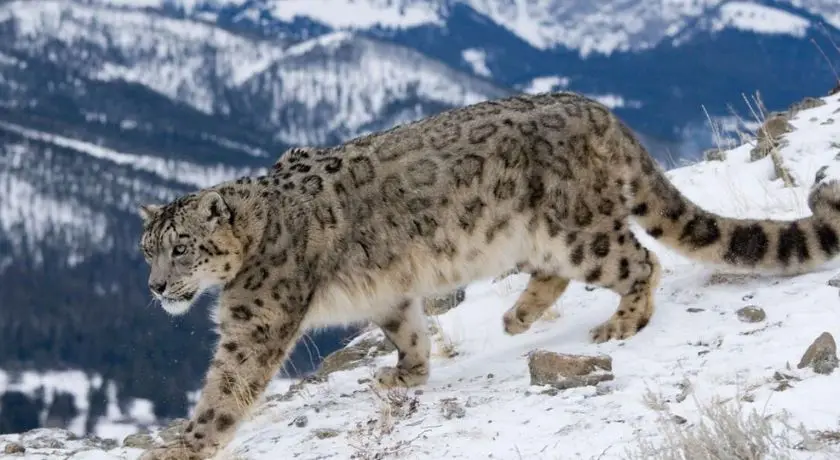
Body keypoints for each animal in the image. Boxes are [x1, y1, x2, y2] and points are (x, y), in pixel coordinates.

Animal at [136, 91, 840, 459]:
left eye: (183, 249)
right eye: (147, 250)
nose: (154, 287)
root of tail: (596, 108)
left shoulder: (255, 319)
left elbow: (226, 387)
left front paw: (181, 446)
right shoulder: (389, 293)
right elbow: (406, 327)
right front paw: (403, 375)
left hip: (576, 228)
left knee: (640, 260)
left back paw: (619, 323)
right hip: (531, 239)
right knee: (559, 273)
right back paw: (517, 316)